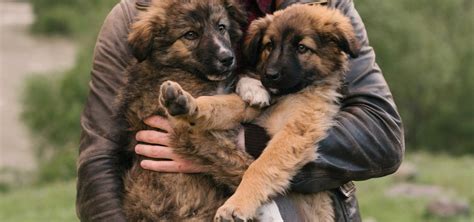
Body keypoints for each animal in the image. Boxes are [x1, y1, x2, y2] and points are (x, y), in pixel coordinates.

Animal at [115, 0, 256, 220]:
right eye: (190, 35)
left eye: (221, 27)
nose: (227, 58)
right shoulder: (188, 132)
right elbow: (237, 159)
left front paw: (254, 87)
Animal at [159, 3, 360, 222]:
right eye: (269, 46)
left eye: (301, 48)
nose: (269, 75)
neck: (287, 95)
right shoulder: (254, 108)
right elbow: (219, 105)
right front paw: (187, 103)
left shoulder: (295, 131)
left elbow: (260, 167)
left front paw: (236, 205)